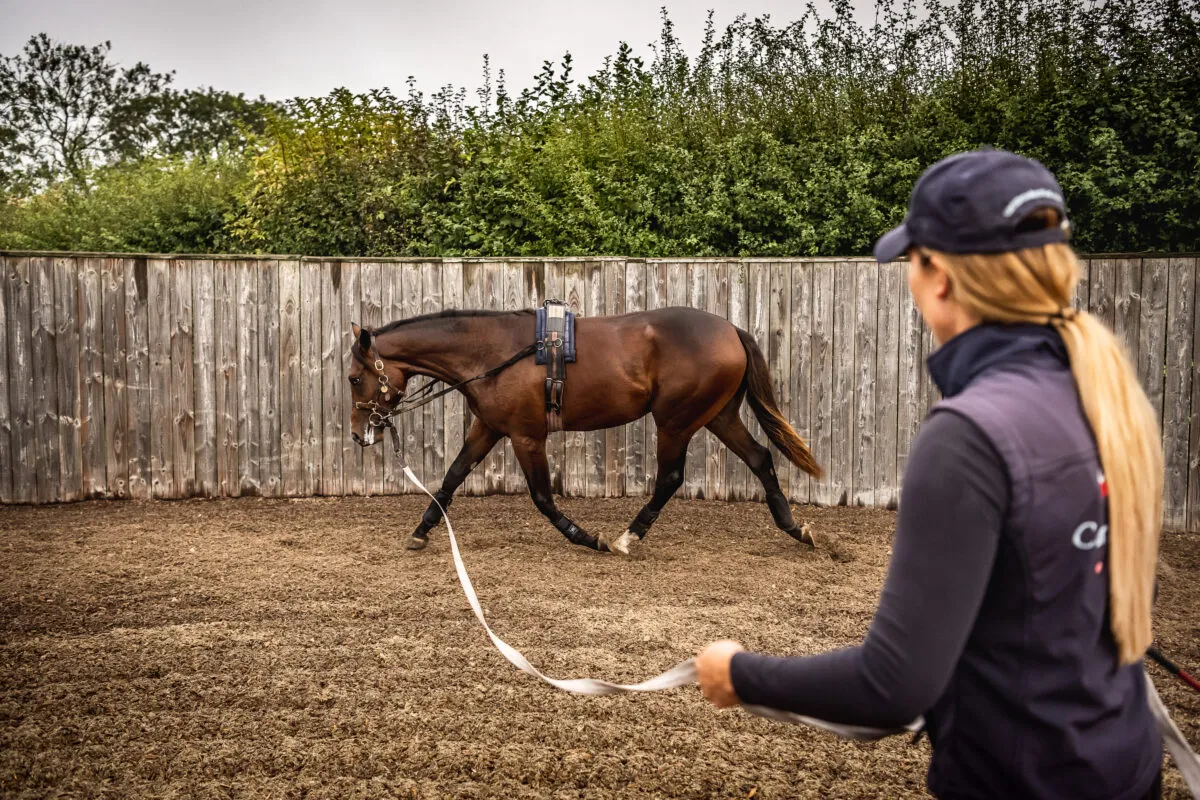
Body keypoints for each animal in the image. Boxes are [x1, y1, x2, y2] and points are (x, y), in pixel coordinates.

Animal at [346, 306, 823, 554]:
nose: (358, 433)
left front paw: (585, 536)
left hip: (676, 421)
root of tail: (731, 330)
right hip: (718, 416)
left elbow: (542, 498)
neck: (493, 352)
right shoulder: (489, 427)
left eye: (353, 378)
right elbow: (451, 478)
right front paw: (422, 530)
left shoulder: (526, 436)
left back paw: (628, 537)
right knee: (761, 457)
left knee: (670, 477)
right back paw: (795, 528)